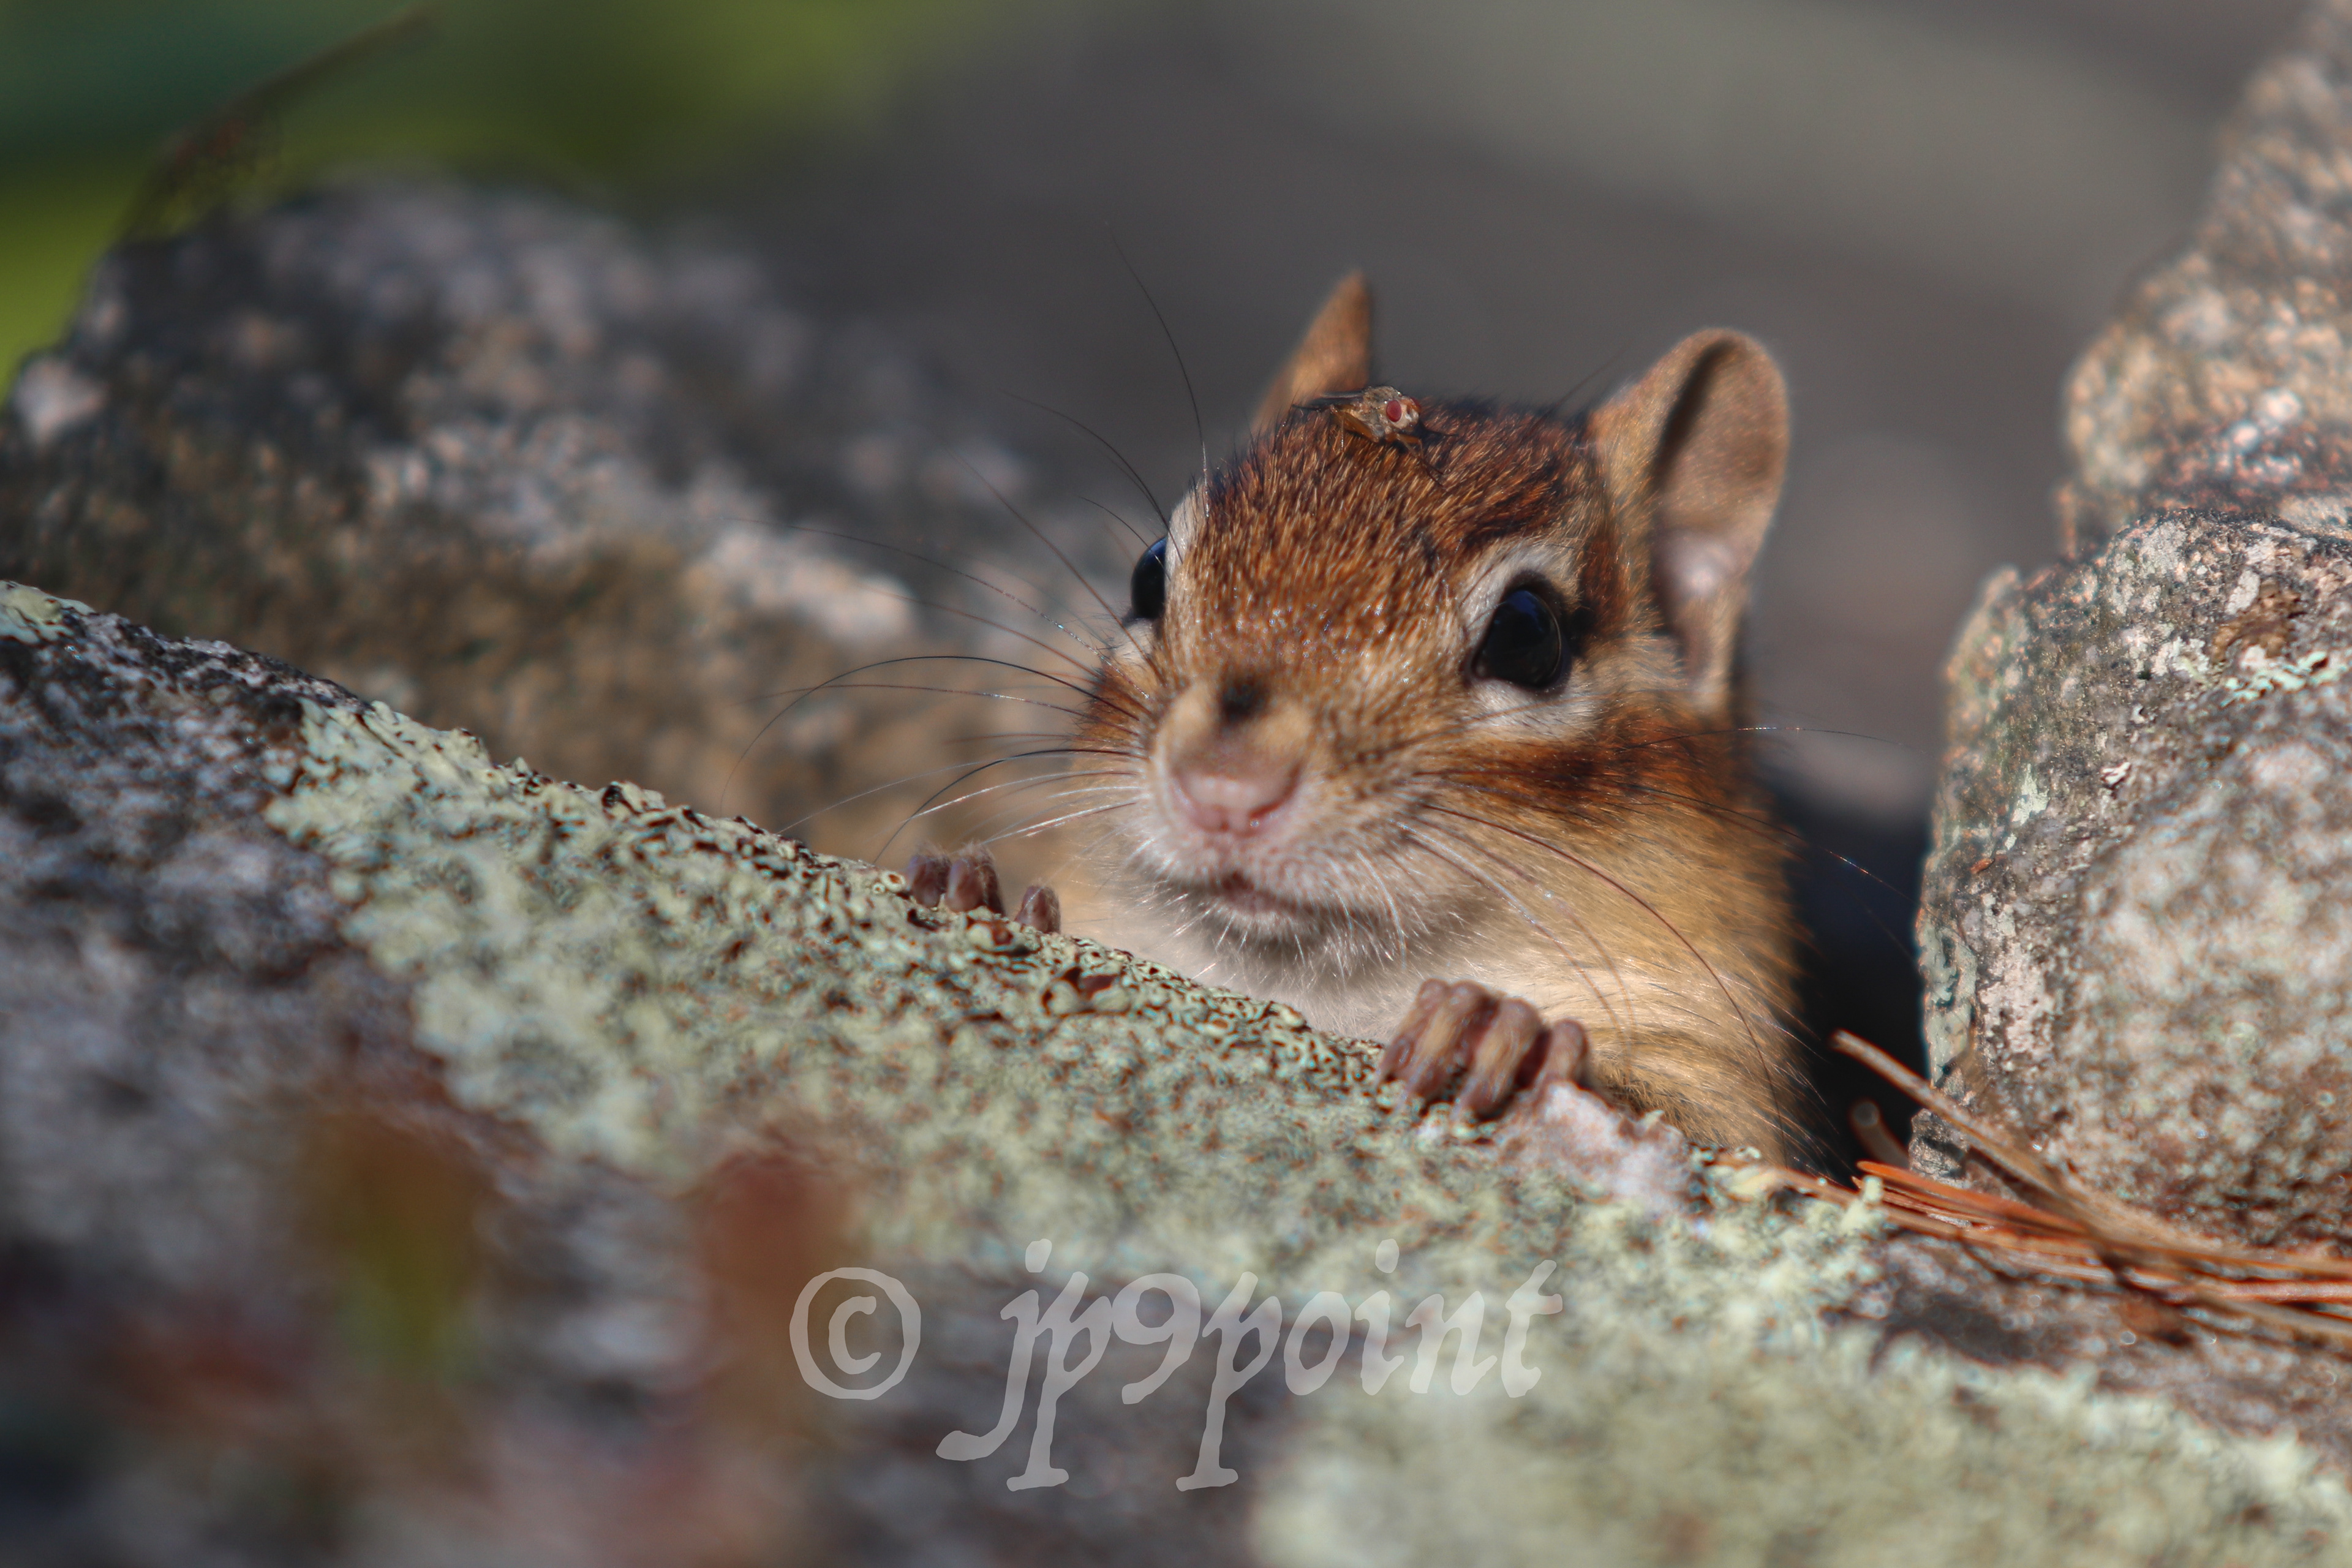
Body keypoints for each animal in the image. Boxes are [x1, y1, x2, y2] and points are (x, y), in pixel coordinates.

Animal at [908, 274, 1807, 1166]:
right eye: (1148, 573)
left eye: (1529, 635)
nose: (1226, 783)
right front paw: (974, 891)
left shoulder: (1715, 1063)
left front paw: (1497, 1032)